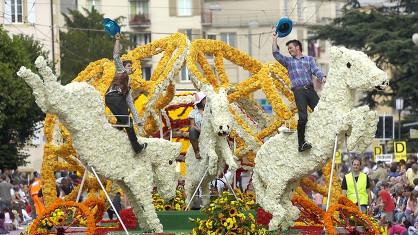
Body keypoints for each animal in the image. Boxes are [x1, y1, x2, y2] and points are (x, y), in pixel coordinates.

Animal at [17, 56, 180, 233]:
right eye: (170, 162)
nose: (170, 195)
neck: (147, 154)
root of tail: (76, 86)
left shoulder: (126, 183)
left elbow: (137, 207)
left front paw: (146, 227)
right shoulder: (139, 180)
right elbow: (147, 206)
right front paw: (157, 228)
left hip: (58, 107)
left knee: (44, 97)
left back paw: (28, 71)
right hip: (62, 105)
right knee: (51, 92)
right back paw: (39, 65)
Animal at [255, 46, 388, 230]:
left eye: (367, 57)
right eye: (349, 64)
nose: (383, 80)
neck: (333, 107)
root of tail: (257, 163)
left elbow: (370, 114)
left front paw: (360, 143)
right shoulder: (338, 124)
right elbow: (358, 114)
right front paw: (356, 140)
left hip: (290, 182)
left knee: (284, 203)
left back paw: (288, 221)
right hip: (275, 181)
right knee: (269, 201)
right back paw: (275, 224)